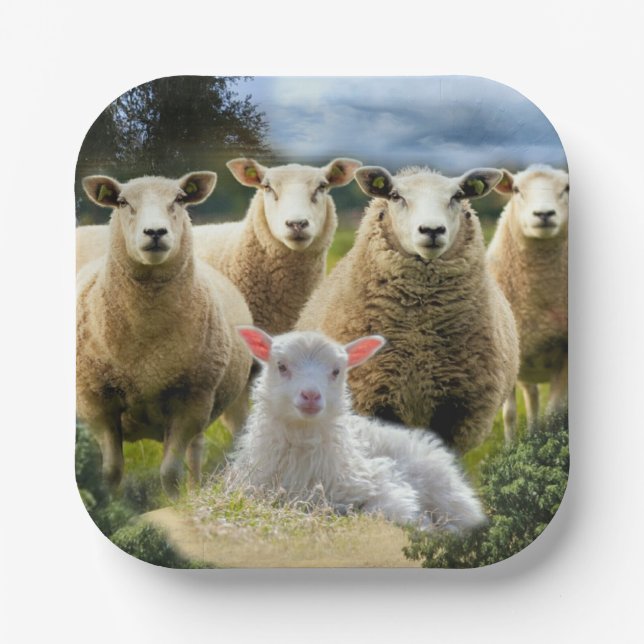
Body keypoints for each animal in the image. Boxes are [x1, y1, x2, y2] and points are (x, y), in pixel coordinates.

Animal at [76, 172, 253, 497]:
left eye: (180, 199)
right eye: (122, 202)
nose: (155, 232)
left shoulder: (191, 400)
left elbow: (170, 472)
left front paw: (174, 501)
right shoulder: (96, 402)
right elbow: (111, 470)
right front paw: (111, 501)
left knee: (197, 451)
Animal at [231, 327, 486, 531]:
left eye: (336, 371)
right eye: (281, 366)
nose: (311, 395)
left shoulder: (381, 481)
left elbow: (384, 509)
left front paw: (424, 525)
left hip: (446, 492)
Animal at [297, 166, 520, 453]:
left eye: (457, 196)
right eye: (395, 195)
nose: (432, 229)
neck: (419, 335)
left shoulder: (456, 409)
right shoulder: (374, 397)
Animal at [486, 164, 569, 439]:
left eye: (567, 188)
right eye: (516, 189)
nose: (543, 214)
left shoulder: (564, 354)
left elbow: (554, 412)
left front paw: (549, 438)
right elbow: (510, 414)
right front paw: (512, 446)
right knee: (531, 398)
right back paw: (532, 435)